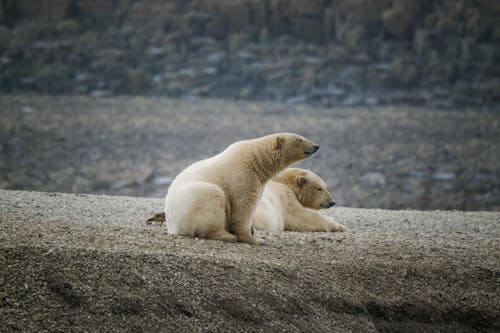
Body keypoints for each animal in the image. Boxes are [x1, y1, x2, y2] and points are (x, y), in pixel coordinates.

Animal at [165, 132, 320, 244]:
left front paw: (253, 232)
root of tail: (173, 225)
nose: (316, 146)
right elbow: (243, 207)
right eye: (299, 139)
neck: (255, 160)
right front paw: (255, 239)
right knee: (212, 198)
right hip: (193, 200)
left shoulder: (259, 181)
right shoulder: (243, 177)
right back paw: (227, 236)